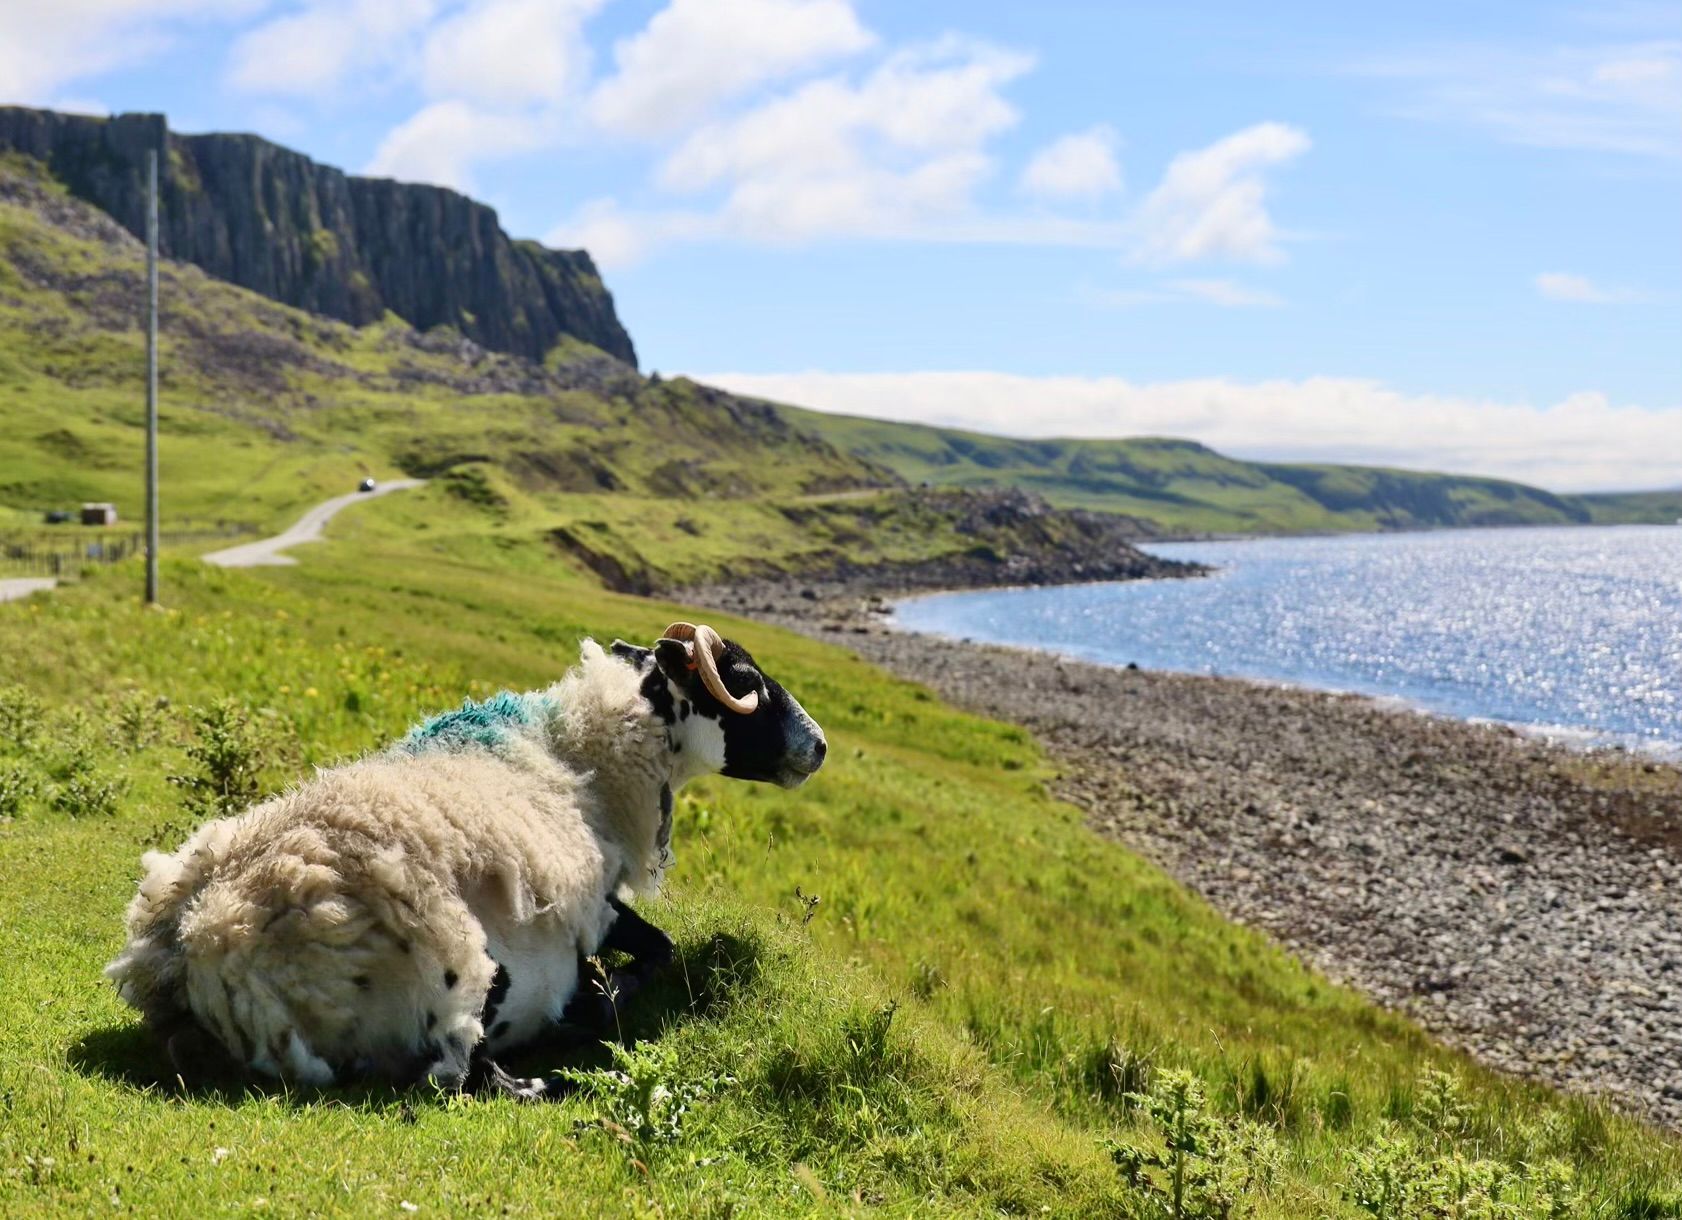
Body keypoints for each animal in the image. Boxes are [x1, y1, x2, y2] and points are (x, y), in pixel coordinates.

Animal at [104, 622, 826, 1101]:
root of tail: (208, 945)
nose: (818, 745)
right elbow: (659, 950)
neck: (578, 753)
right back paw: (559, 1067)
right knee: (469, 1076)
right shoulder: (593, 908)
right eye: (745, 680)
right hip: (463, 974)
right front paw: (602, 998)